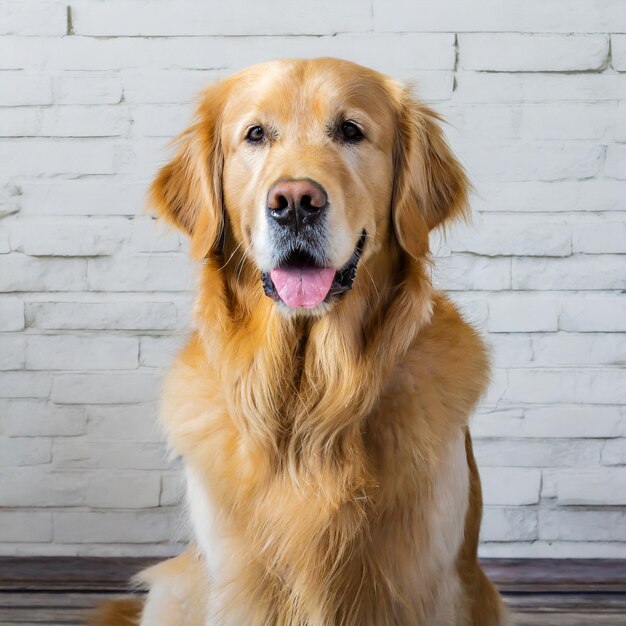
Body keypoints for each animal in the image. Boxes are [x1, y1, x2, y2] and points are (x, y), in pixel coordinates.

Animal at [95, 56, 510, 620]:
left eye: (351, 131)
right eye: (255, 134)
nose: (294, 202)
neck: (309, 397)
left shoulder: (424, 582)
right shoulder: (238, 582)